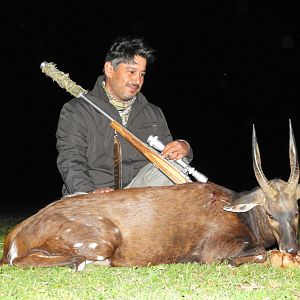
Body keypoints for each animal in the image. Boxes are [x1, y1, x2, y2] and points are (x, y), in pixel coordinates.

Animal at [0, 120, 298, 270]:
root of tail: (16, 235)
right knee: (22, 260)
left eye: (296, 211)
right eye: (270, 213)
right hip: (100, 240)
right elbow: (258, 254)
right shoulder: (213, 248)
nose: (291, 248)